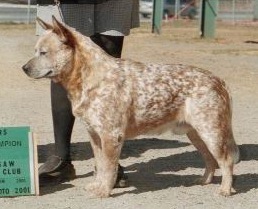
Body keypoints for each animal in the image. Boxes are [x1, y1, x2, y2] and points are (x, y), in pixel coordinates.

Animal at [22, 16, 240, 198]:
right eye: (35, 51)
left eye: (43, 52)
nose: (24, 68)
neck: (90, 78)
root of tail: (219, 80)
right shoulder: (94, 135)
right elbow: (100, 165)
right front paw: (97, 186)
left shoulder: (111, 135)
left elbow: (109, 168)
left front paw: (104, 191)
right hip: (195, 134)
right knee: (210, 160)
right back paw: (204, 180)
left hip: (211, 132)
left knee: (226, 161)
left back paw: (225, 189)